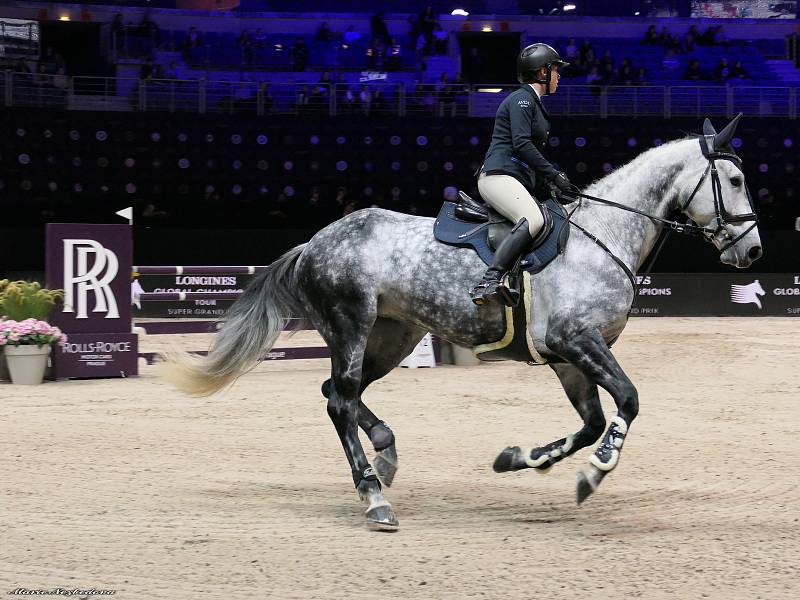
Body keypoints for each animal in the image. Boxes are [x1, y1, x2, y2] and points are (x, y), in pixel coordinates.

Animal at [167, 116, 764, 528]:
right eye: (734, 179)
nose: (753, 251)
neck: (605, 235)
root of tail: (314, 242)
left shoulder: (568, 357)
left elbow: (592, 420)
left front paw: (519, 459)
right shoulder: (577, 341)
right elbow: (629, 402)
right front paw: (598, 470)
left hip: (393, 336)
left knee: (337, 392)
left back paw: (384, 457)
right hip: (351, 324)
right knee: (340, 401)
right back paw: (374, 497)